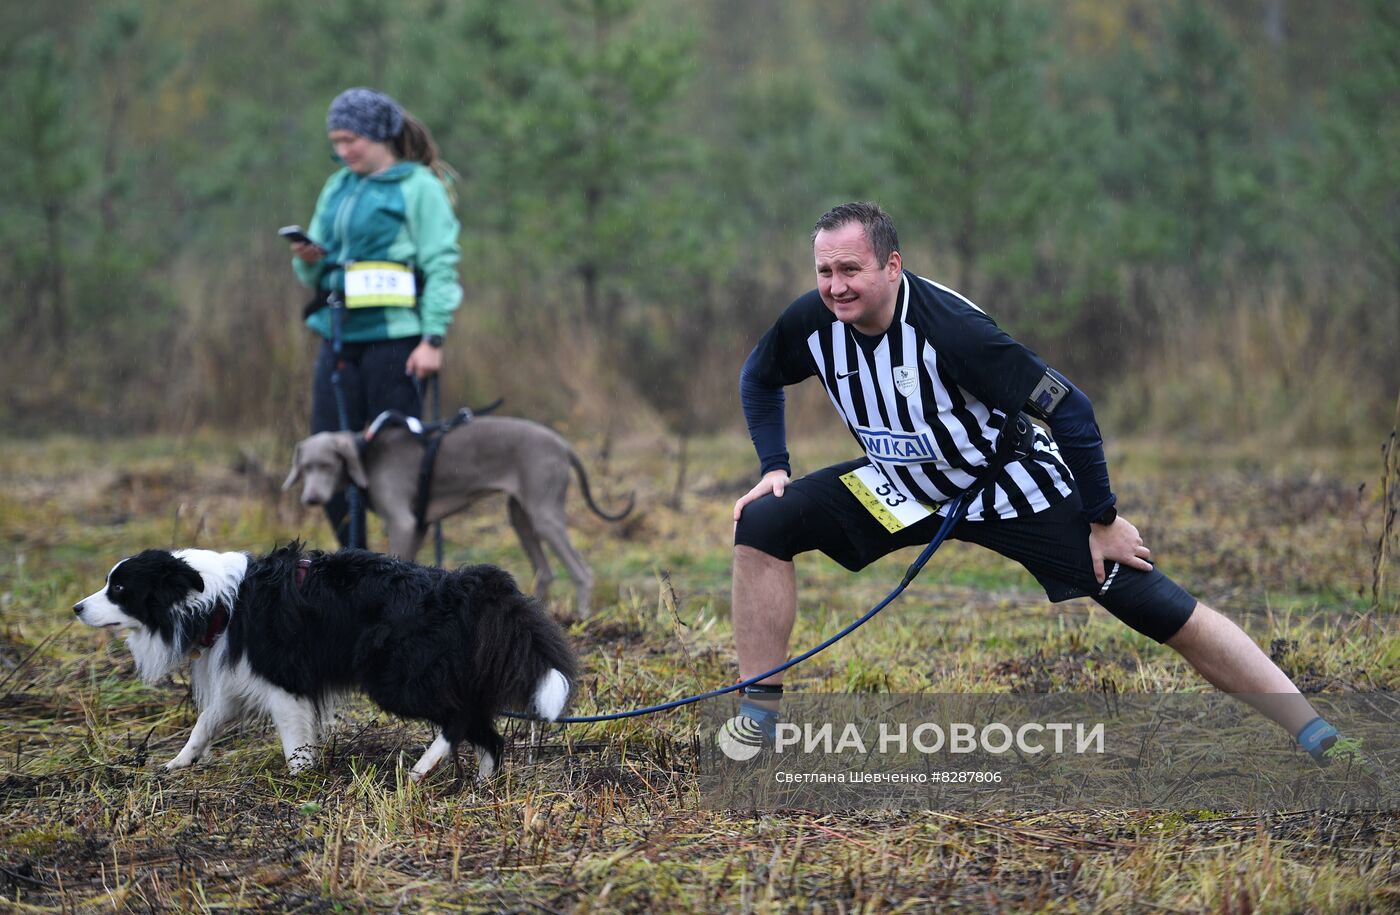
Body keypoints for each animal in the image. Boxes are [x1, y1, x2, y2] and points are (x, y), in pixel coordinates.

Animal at [281, 419, 632, 621]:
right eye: (306, 466)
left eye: (327, 465)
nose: (311, 499)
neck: (367, 453)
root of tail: (563, 445)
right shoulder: (419, 526)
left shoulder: (403, 522)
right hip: (520, 515)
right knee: (545, 572)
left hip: (544, 512)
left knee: (582, 571)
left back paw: (583, 618)